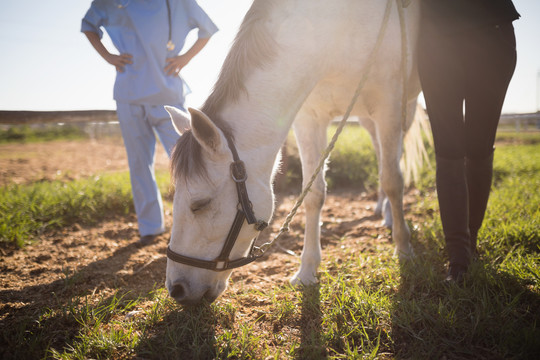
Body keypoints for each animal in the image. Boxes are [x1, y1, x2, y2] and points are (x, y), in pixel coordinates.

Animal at [162, 0, 424, 306]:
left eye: (199, 205)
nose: (176, 289)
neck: (336, 34)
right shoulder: (310, 118)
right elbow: (313, 194)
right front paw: (307, 271)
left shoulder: (388, 106)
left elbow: (394, 180)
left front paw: (404, 251)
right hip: (368, 119)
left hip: (401, 109)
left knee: (392, 164)